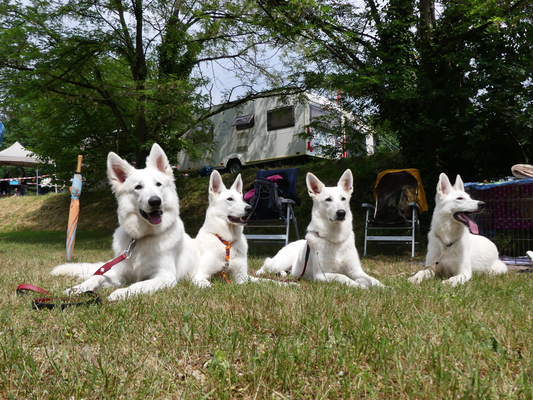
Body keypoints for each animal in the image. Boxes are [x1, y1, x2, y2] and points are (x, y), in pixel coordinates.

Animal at [52, 144, 200, 300]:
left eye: (158, 184)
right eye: (138, 187)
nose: (155, 201)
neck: (142, 238)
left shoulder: (165, 277)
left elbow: (138, 284)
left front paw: (120, 293)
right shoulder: (119, 273)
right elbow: (98, 277)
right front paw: (78, 288)